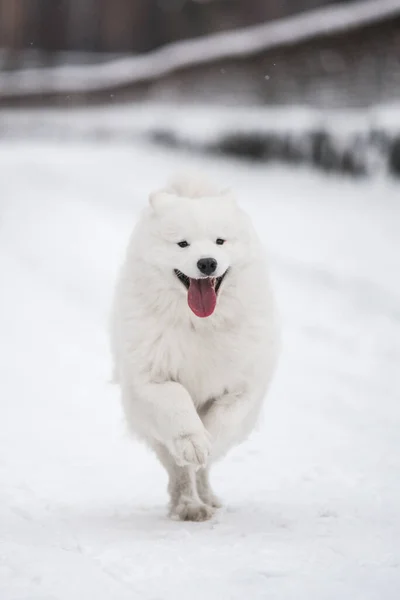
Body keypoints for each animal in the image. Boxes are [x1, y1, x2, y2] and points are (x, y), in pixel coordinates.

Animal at [109, 173, 278, 520]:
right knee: (179, 470)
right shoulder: (151, 380)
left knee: (201, 470)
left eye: (220, 241)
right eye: (182, 244)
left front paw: (209, 438)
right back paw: (188, 506)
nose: (207, 263)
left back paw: (206, 497)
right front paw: (195, 441)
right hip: (152, 427)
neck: (199, 325)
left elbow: (224, 419)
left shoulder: (244, 386)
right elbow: (178, 404)